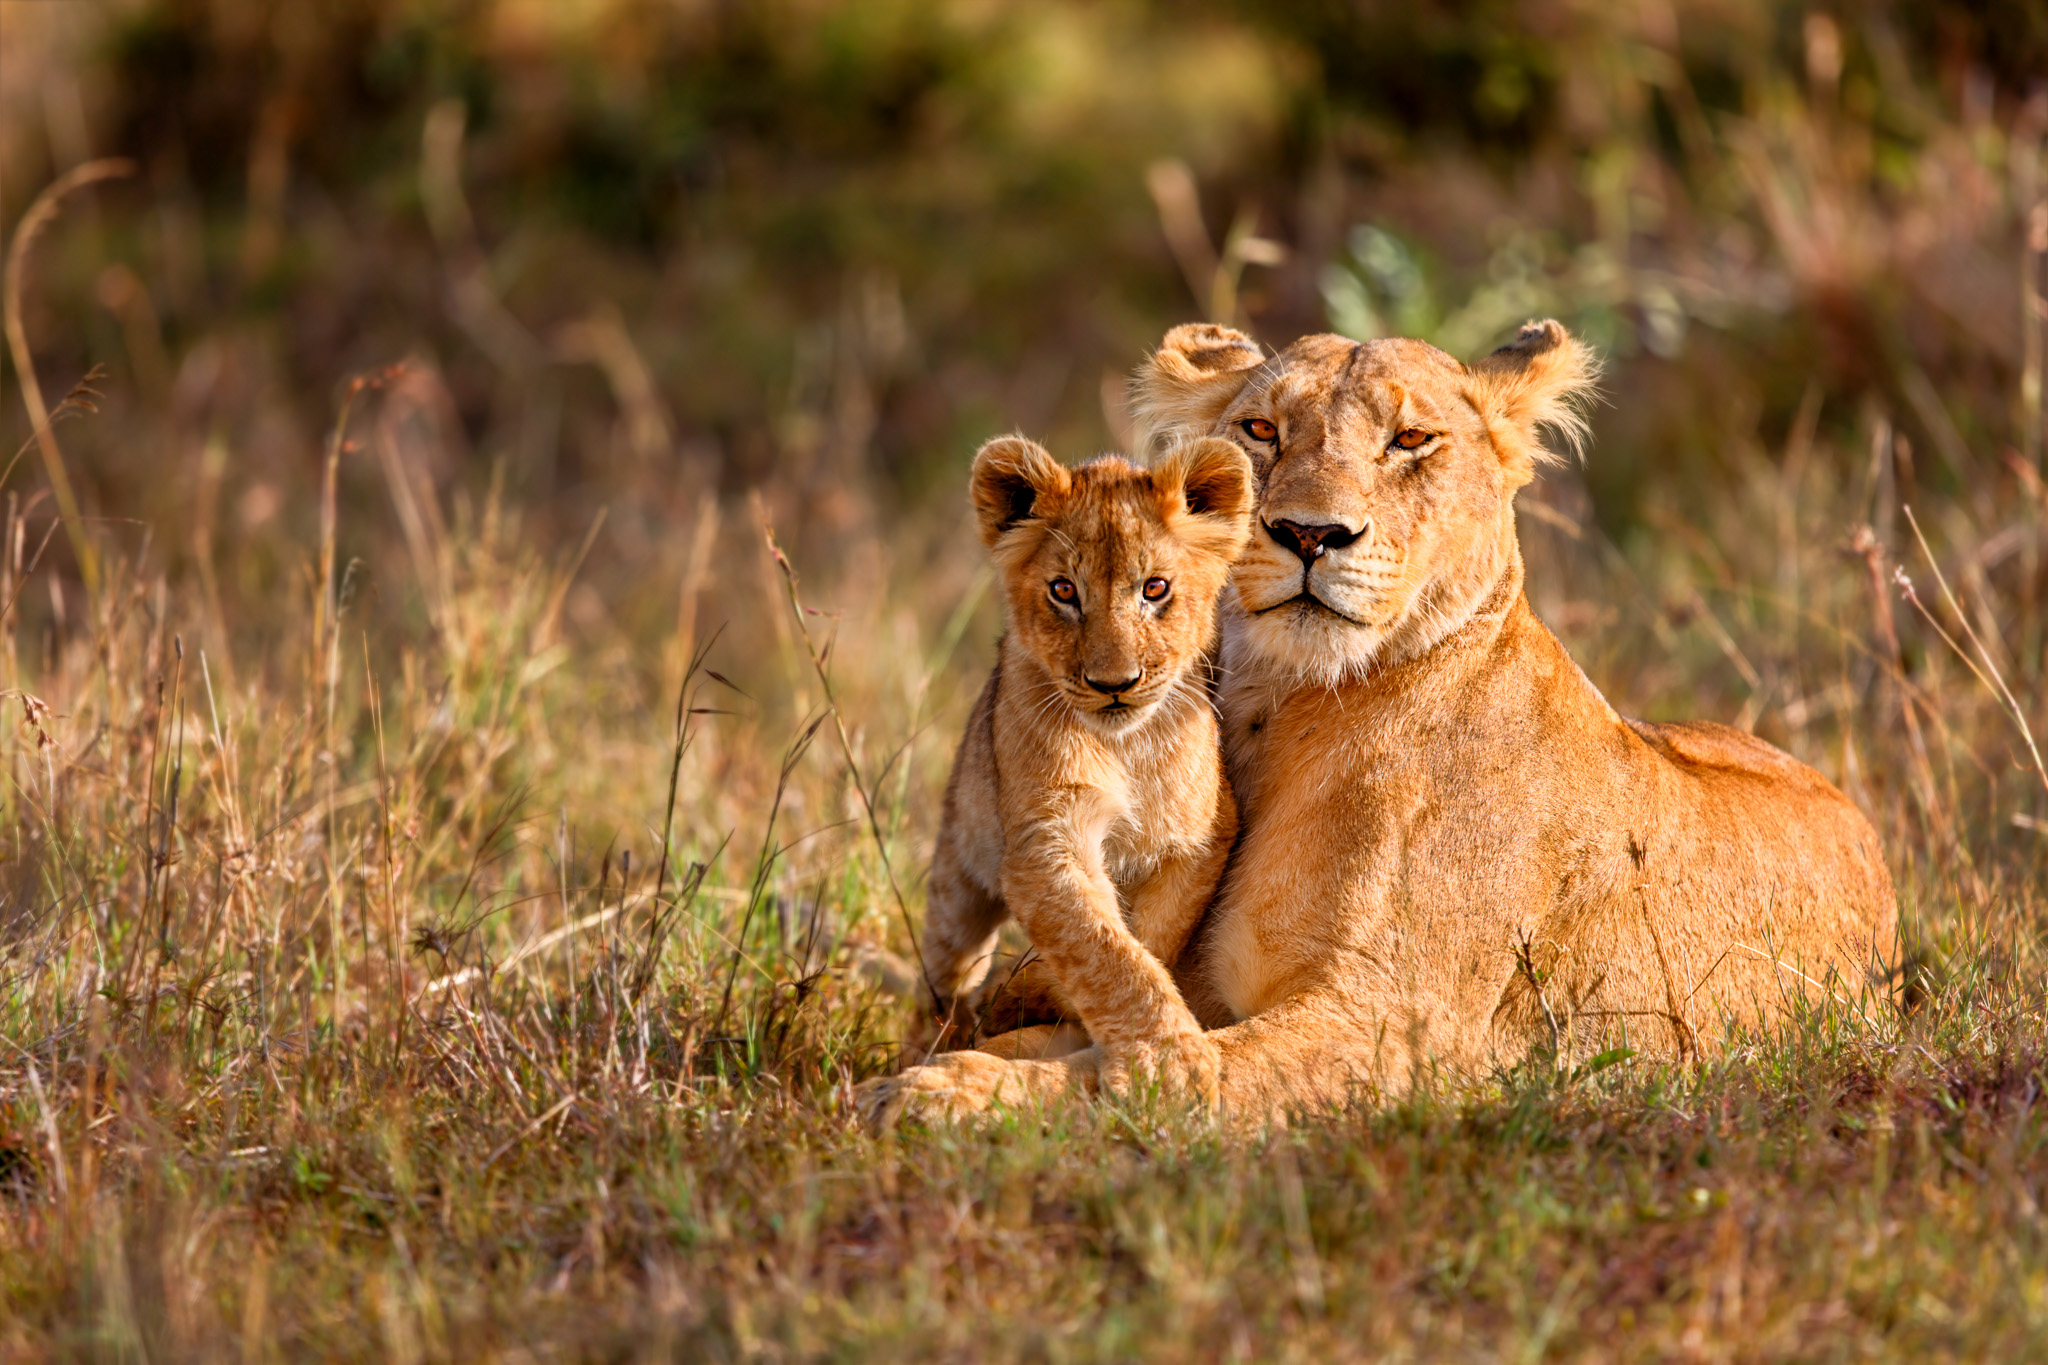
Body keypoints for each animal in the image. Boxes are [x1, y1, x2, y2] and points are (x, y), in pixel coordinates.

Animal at [890, 433, 1254, 1104]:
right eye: (1064, 591)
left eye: (1155, 589)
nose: (1114, 684)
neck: (1125, 747)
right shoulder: (1044, 842)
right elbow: (1102, 946)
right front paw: (1169, 1062)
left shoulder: (1199, 839)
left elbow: (1146, 939)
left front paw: (1033, 996)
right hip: (958, 873)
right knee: (944, 972)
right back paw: (933, 1034)